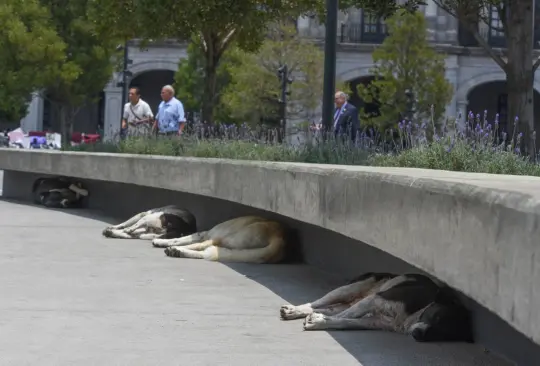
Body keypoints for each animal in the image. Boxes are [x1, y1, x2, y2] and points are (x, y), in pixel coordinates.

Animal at [152, 214, 286, 264]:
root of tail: (280, 237)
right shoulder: (203, 234)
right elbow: (180, 238)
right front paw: (161, 242)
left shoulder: (205, 235)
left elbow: (183, 239)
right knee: (207, 252)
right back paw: (178, 252)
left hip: (227, 238)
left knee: (203, 247)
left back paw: (176, 250)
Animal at [278, 272, 472, 344]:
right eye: (436, 316)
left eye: (444, 335)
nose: (418, 335)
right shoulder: (376, 299)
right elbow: (344, 316)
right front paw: (319, 321)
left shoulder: (375, 320)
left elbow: (345, 321)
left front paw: (320, 321)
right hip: (351, 289)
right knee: (316, 303)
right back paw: (294, 310)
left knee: (330, 309)